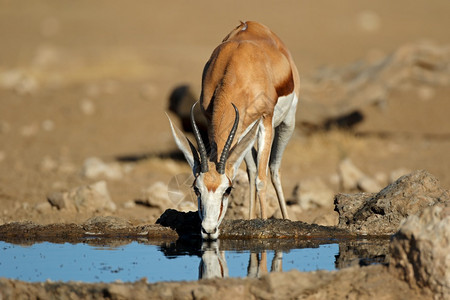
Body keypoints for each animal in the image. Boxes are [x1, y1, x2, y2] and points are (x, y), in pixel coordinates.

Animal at [168, 20, 298, 239]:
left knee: (273, 169)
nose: (209, 230)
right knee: (252, 169)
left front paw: (264, 225)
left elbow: (262, 180)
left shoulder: (265, 120)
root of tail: (252, 24)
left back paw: (286, 219)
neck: (236, 67)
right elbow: (251, 171)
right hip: (244, 134)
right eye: (196, 189)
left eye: (227, 190)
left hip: (287, 123)